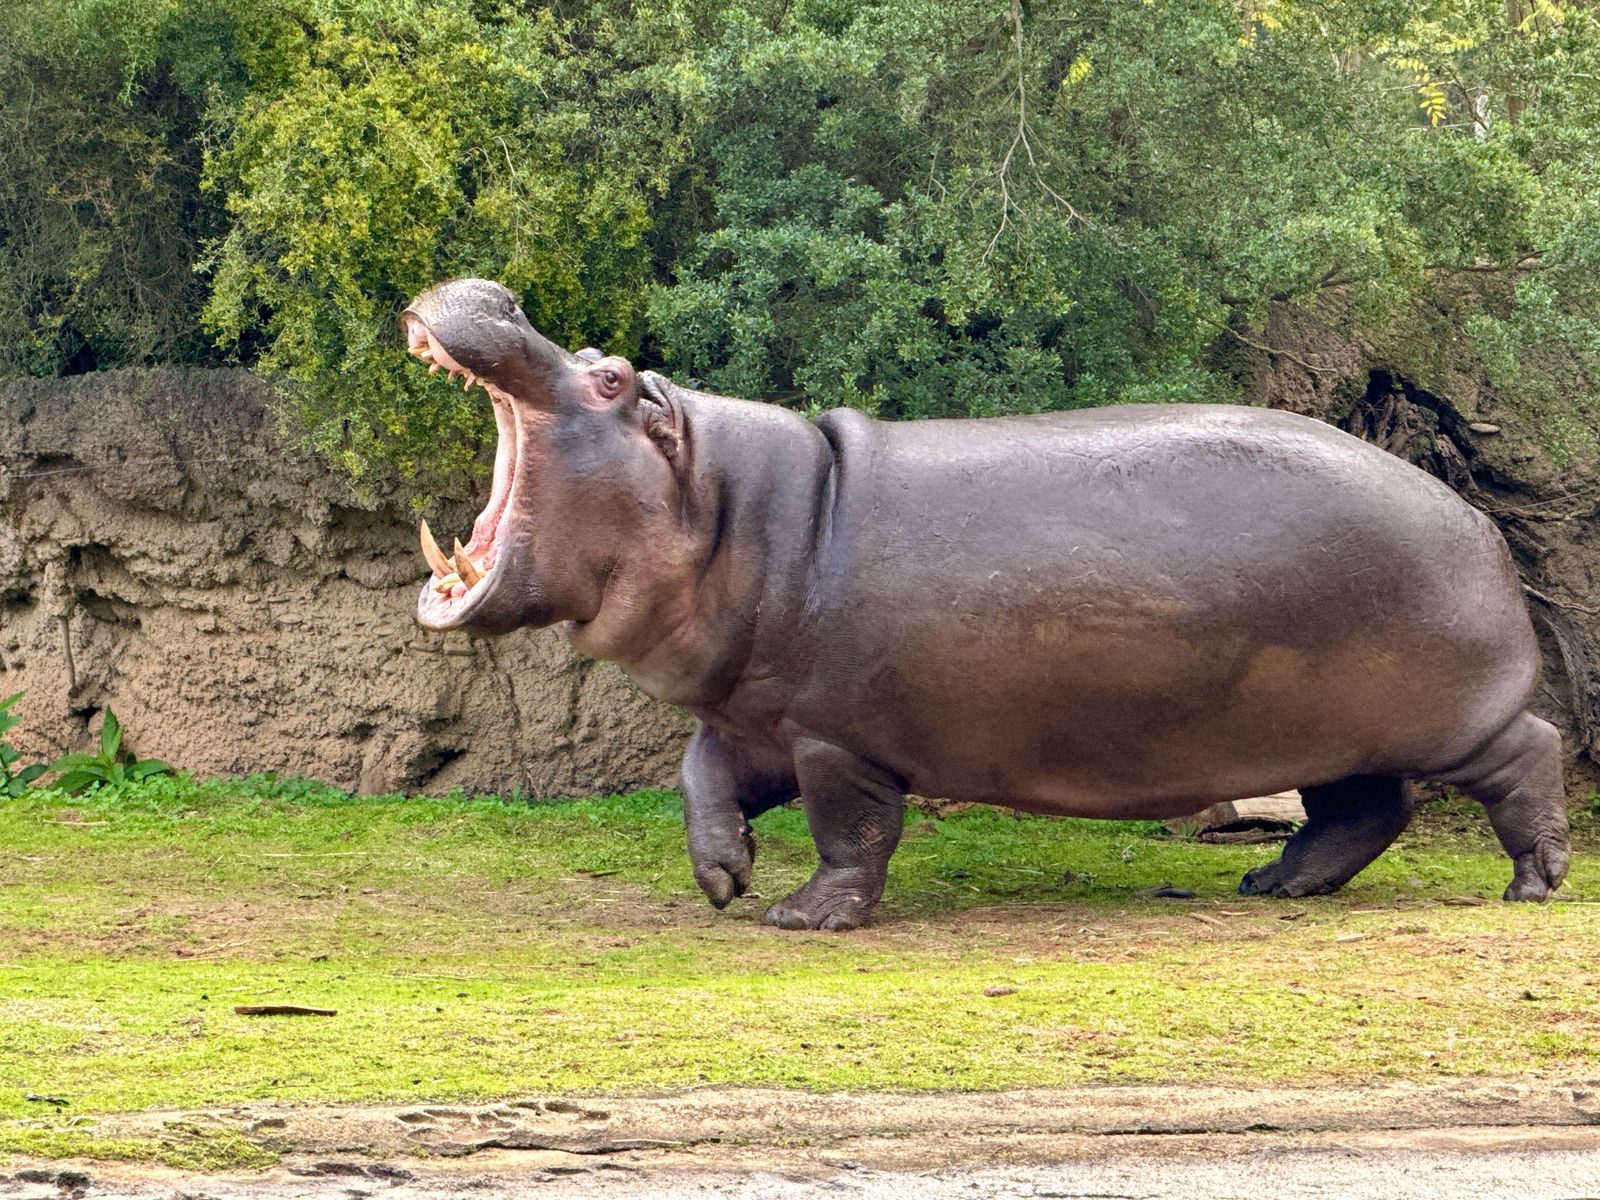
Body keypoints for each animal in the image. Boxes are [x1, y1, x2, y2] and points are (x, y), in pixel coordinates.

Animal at [401, 278, 1570, 930]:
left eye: (607, 380)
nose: (499, 292)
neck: (735, 509)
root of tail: (1473, 522)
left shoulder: (832, 736)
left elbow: (851, 831)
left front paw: (801, 919)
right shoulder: (758, 716)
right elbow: (703, 778)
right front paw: (722, 881)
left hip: (1448, 716)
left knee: (1528, 751)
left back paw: (1534, 883)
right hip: (1328, 727)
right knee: (1367, 809)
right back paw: (1273, 885)